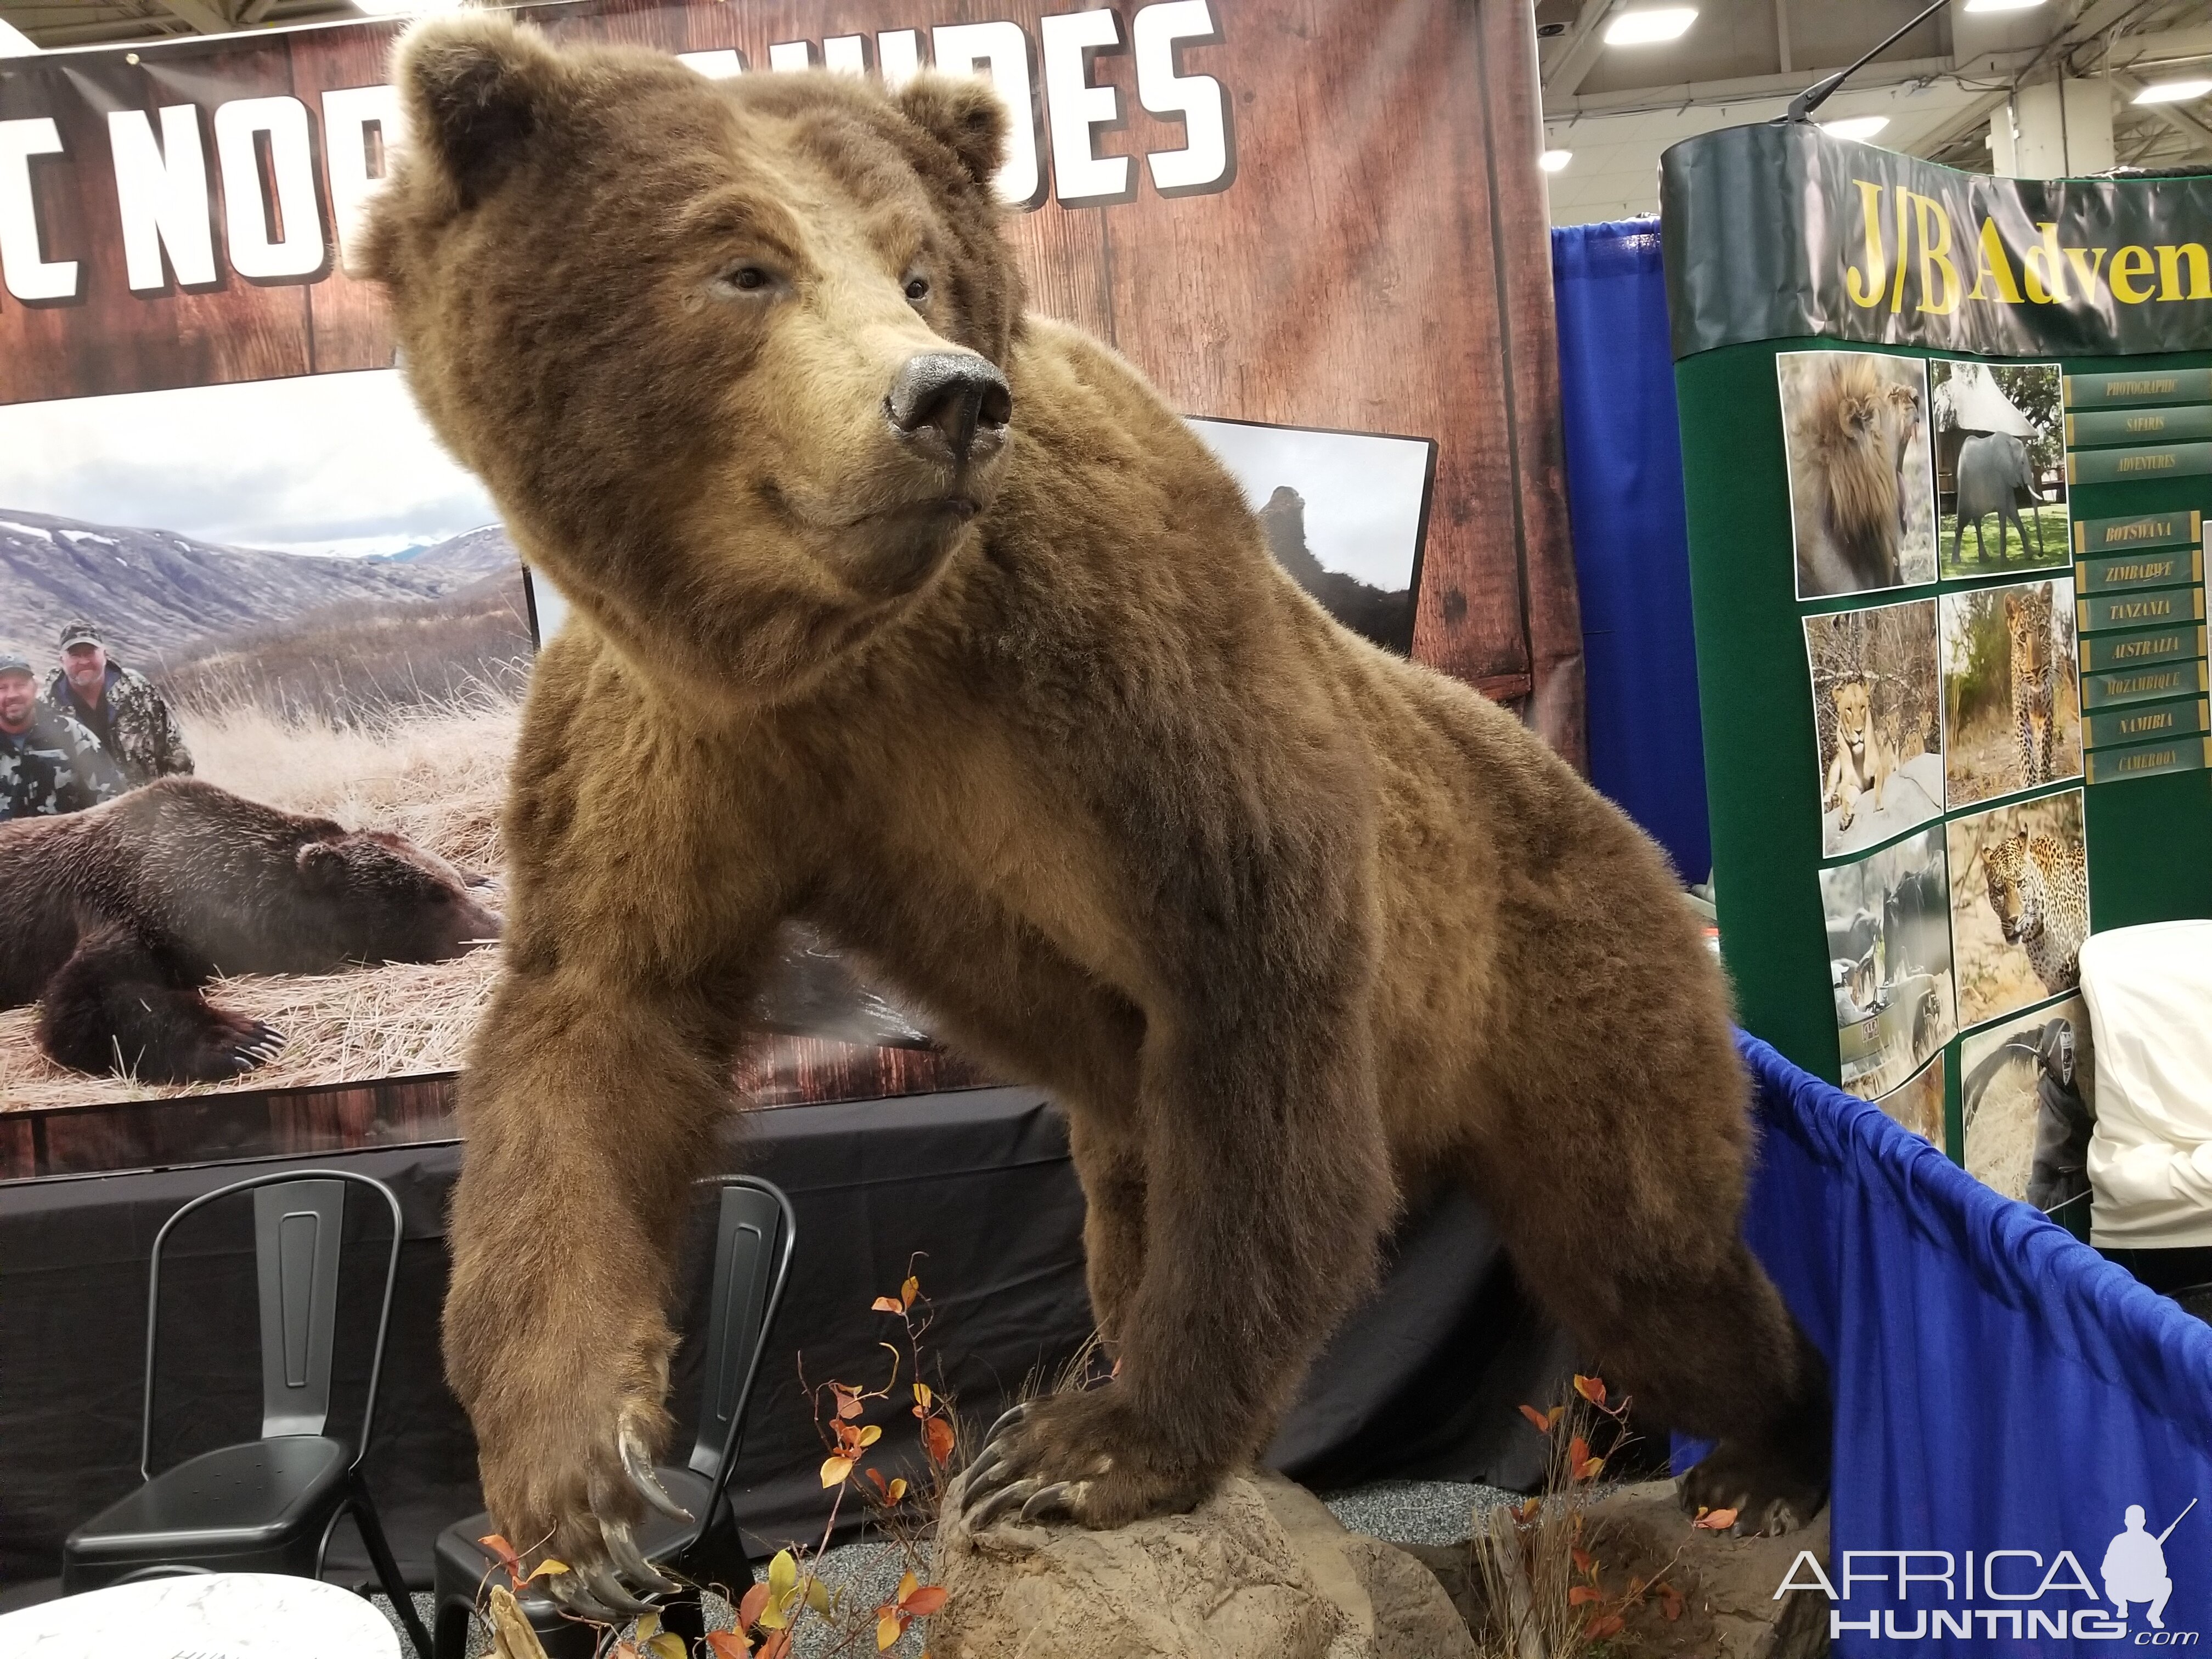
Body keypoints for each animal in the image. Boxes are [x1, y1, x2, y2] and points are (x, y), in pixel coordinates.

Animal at [0, 783, 502, 1092]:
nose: (496, 926)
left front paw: (485, 877)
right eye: (434, 896)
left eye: (449, 883)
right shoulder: (120, 908)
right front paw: (243, 1038)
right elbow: (89, 997)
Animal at [363, 6, 1831, 1601]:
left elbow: (1257, 974)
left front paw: (1092, 1446)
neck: (858, 644)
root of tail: (1641, 846)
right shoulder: (681, 736)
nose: (942, 397)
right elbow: (602, 1013)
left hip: (1570, 984)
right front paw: (582, 1478)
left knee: (1644, 1259)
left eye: (918, 266)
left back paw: (1769, 1458)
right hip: (1148, 1120)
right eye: (741, 263)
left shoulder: (1124, 650)